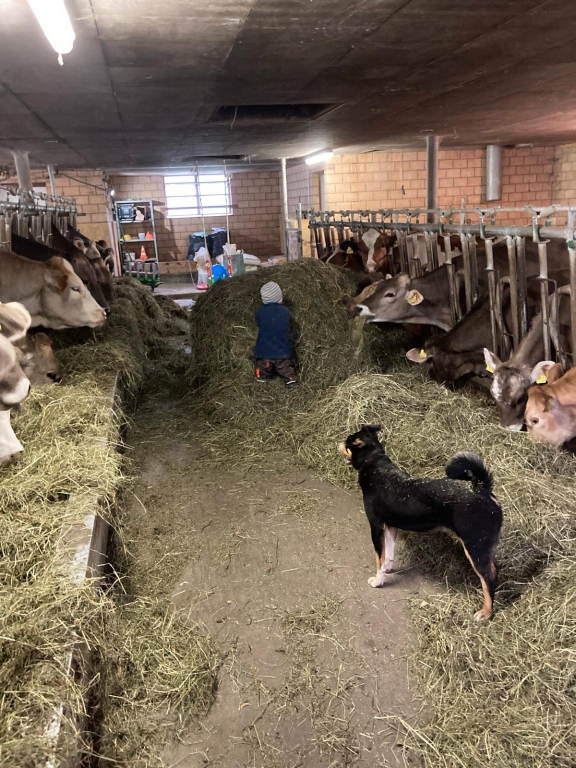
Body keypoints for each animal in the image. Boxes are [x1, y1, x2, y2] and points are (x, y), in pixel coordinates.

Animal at [340, 424, 502, 620]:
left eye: (347, 443)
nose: (338, 443)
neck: (374, 462)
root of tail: (482, 489)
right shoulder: (391, 526)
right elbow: (388, 554)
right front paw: (387, 569)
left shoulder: (376, 526)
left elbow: (379, 557)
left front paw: (378, 580)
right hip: (483, 546)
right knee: (494, 570)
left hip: (474, 547)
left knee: (488, 579)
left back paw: (486, 612)